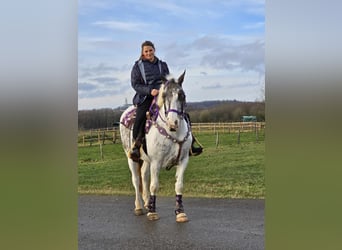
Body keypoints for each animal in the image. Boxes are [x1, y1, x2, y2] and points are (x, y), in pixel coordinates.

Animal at [119, 71, 191, 223]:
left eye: (182, 95)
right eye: (164, 95)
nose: (173, 122)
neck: (173, 133)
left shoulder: (183, 160)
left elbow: (179, 185)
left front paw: (180, 212)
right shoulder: (156, 162)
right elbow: (154, 186)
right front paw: (152, 212)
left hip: (146, 161)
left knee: (144, 176)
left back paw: (147, 202)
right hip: (132, 158)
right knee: (136, 180)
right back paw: (139, 207)